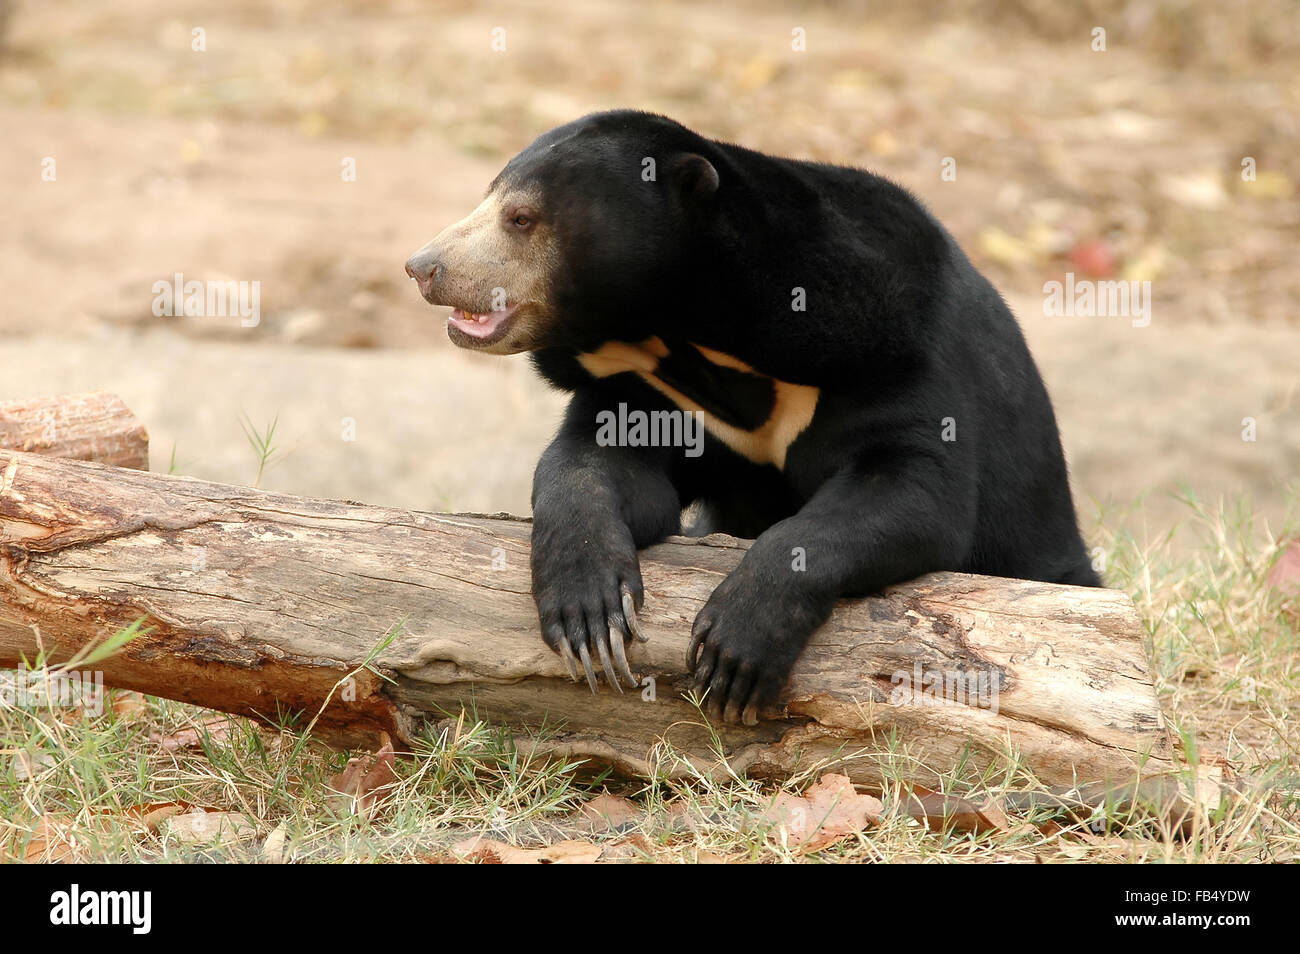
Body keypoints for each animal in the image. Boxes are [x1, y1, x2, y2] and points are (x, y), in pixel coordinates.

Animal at [405, 108, 1097, 722]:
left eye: (520, 218)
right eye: (489, 198)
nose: (422, 267)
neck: (686, 337)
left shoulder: (892, 347)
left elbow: (913, 488)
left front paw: (733, 648)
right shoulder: (651, 393)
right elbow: (595, 464)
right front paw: (590, 615)